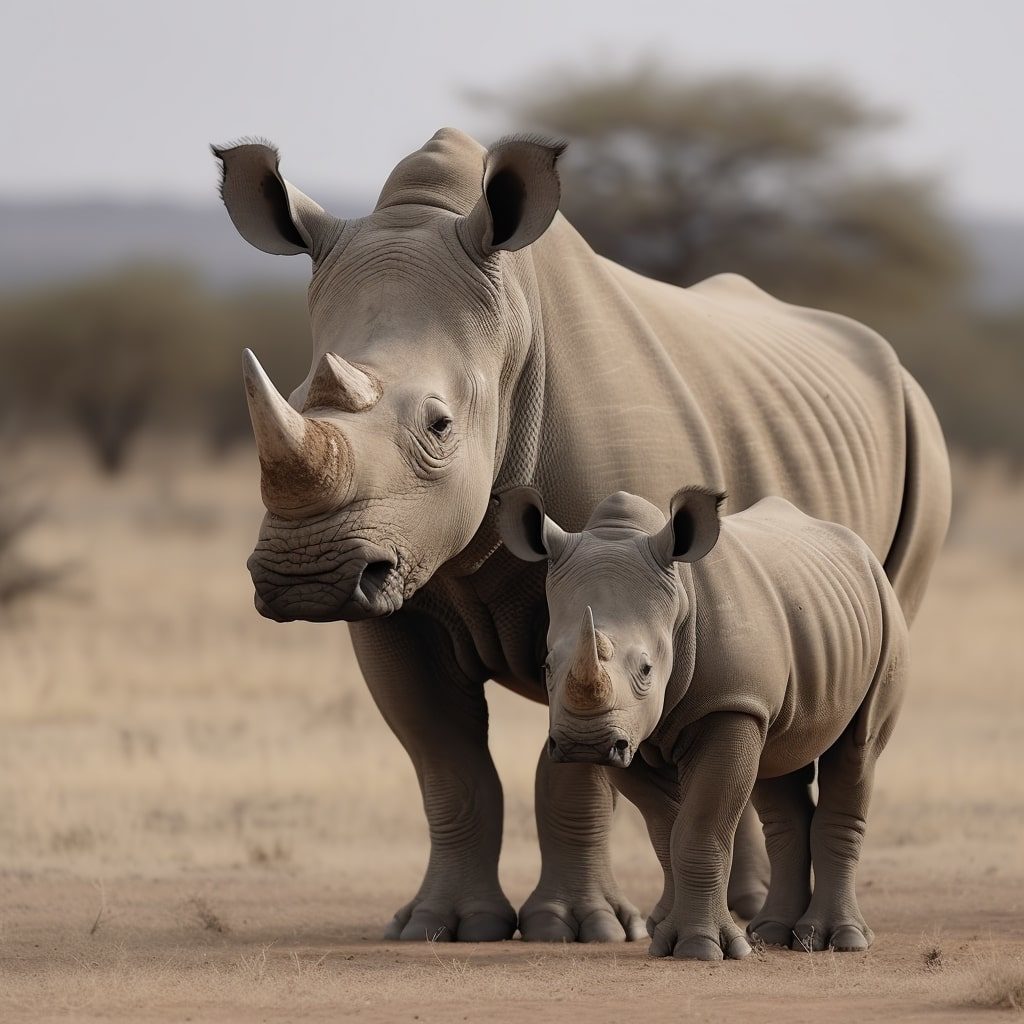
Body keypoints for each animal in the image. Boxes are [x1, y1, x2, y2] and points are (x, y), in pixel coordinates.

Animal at [499, 483, 909, 954]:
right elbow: (668, 831)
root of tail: (860, 549)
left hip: (884, 610)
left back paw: (839, 940)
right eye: (547, 666)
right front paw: (666, 936)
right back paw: (773, 935)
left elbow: (701, 827)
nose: (583, 743)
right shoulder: (632, 734)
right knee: (777, 762)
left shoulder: (729, 704)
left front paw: (702, 948)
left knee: (858, 749)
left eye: (646, 669)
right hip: (802, 633)